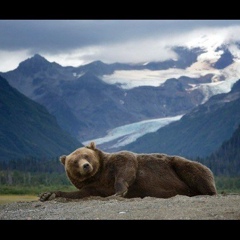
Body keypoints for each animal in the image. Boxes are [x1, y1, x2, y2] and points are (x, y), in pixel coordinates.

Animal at [39, 142, 218, 202]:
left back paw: (204, 192)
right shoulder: (94, 186)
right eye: (74, 161)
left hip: (179, 165)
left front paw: (119, 191)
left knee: (193, 169)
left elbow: (126, 163)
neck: (99, 175)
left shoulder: (116, 163)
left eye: (86, 155)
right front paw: (47, 195)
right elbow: (79, 194)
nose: (86, 166)